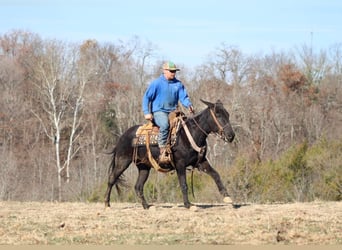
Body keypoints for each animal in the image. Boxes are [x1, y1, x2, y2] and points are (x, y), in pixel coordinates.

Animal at [105, 99, 235, 209]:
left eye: (228, 114)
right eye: (218, 114)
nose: (231, 135)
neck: (190, 135)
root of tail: (122, 136)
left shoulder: (201, 162)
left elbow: (215, 175)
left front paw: (227, 198)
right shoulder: (180, 165)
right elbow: (183, 184)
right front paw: (188, 204)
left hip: (144, 167)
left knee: (138, 186)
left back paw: (146, 206)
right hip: (122, 161)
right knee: (112, 179)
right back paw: (107, 204)